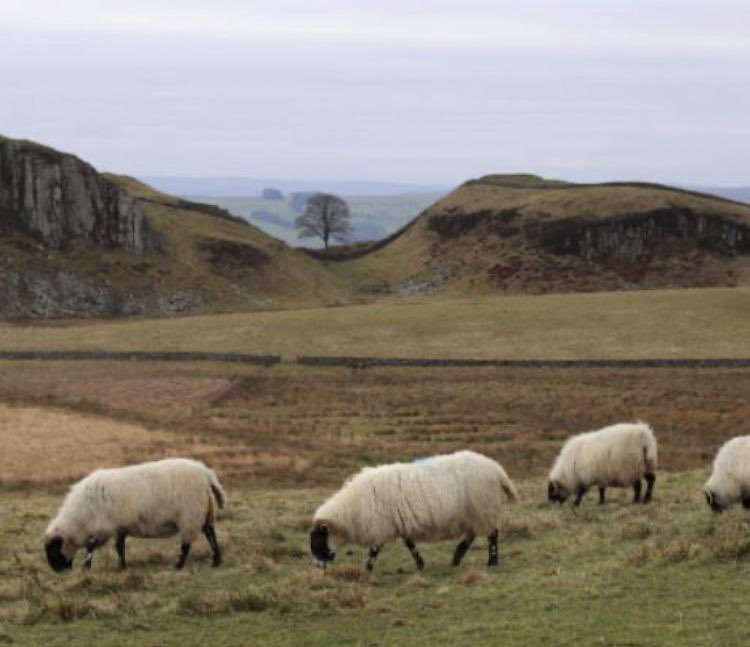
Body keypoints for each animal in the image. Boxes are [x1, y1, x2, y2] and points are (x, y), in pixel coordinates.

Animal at [44, 458, 225, 573]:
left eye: (53, 550)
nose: (58, 571)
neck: (80, 517)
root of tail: (206, 474)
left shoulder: (102, 527)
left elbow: (91, 547)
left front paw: (85, 568)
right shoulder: (119, 527)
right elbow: (119, 547)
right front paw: (121, 567)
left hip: (189, 515)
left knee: (186, 545)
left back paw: (177, 566)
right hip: (206, 512)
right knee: (211, 534)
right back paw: (216, 561)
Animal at [309, 450, 519, 572]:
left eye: (317, 540)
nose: (318, 567)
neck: (351, 510)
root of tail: (497, 469)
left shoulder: (381, 525)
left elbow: (375, 550)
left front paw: (366, 569)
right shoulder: (399, 523)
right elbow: (410, 544)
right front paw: (420, 564)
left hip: (484, 507)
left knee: (492, 535)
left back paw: (492, 562)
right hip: (474, 512)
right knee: (472, 534)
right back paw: (457, 557)